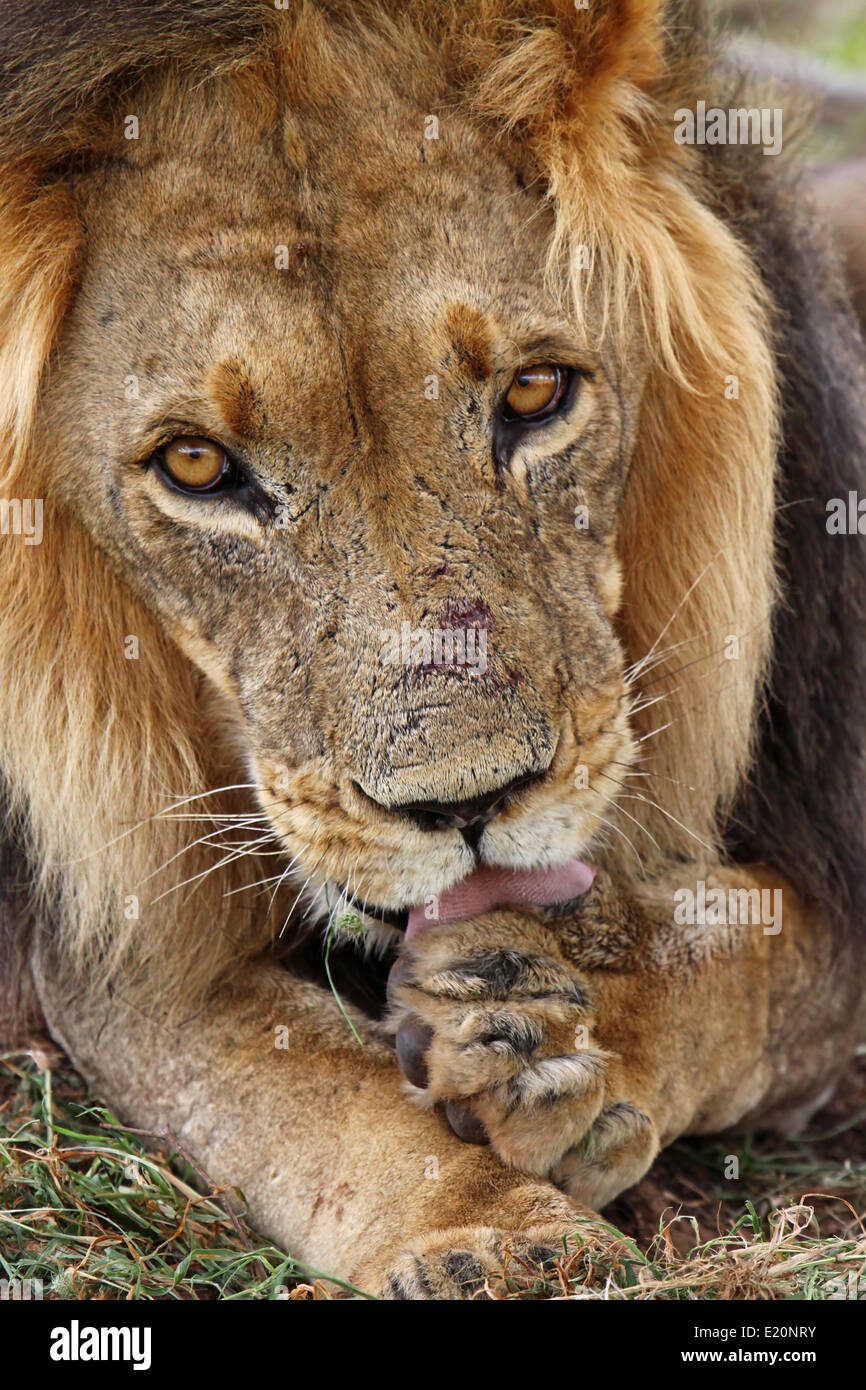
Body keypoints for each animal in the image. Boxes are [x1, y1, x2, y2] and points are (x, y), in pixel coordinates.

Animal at [1, 0, 865, 1299]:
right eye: (196, 466)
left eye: (536, 392)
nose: (466, 806)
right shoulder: (119, 929)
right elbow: (300, 1079)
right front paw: (494, 1232)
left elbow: (760, 952)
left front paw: (557, 1011)